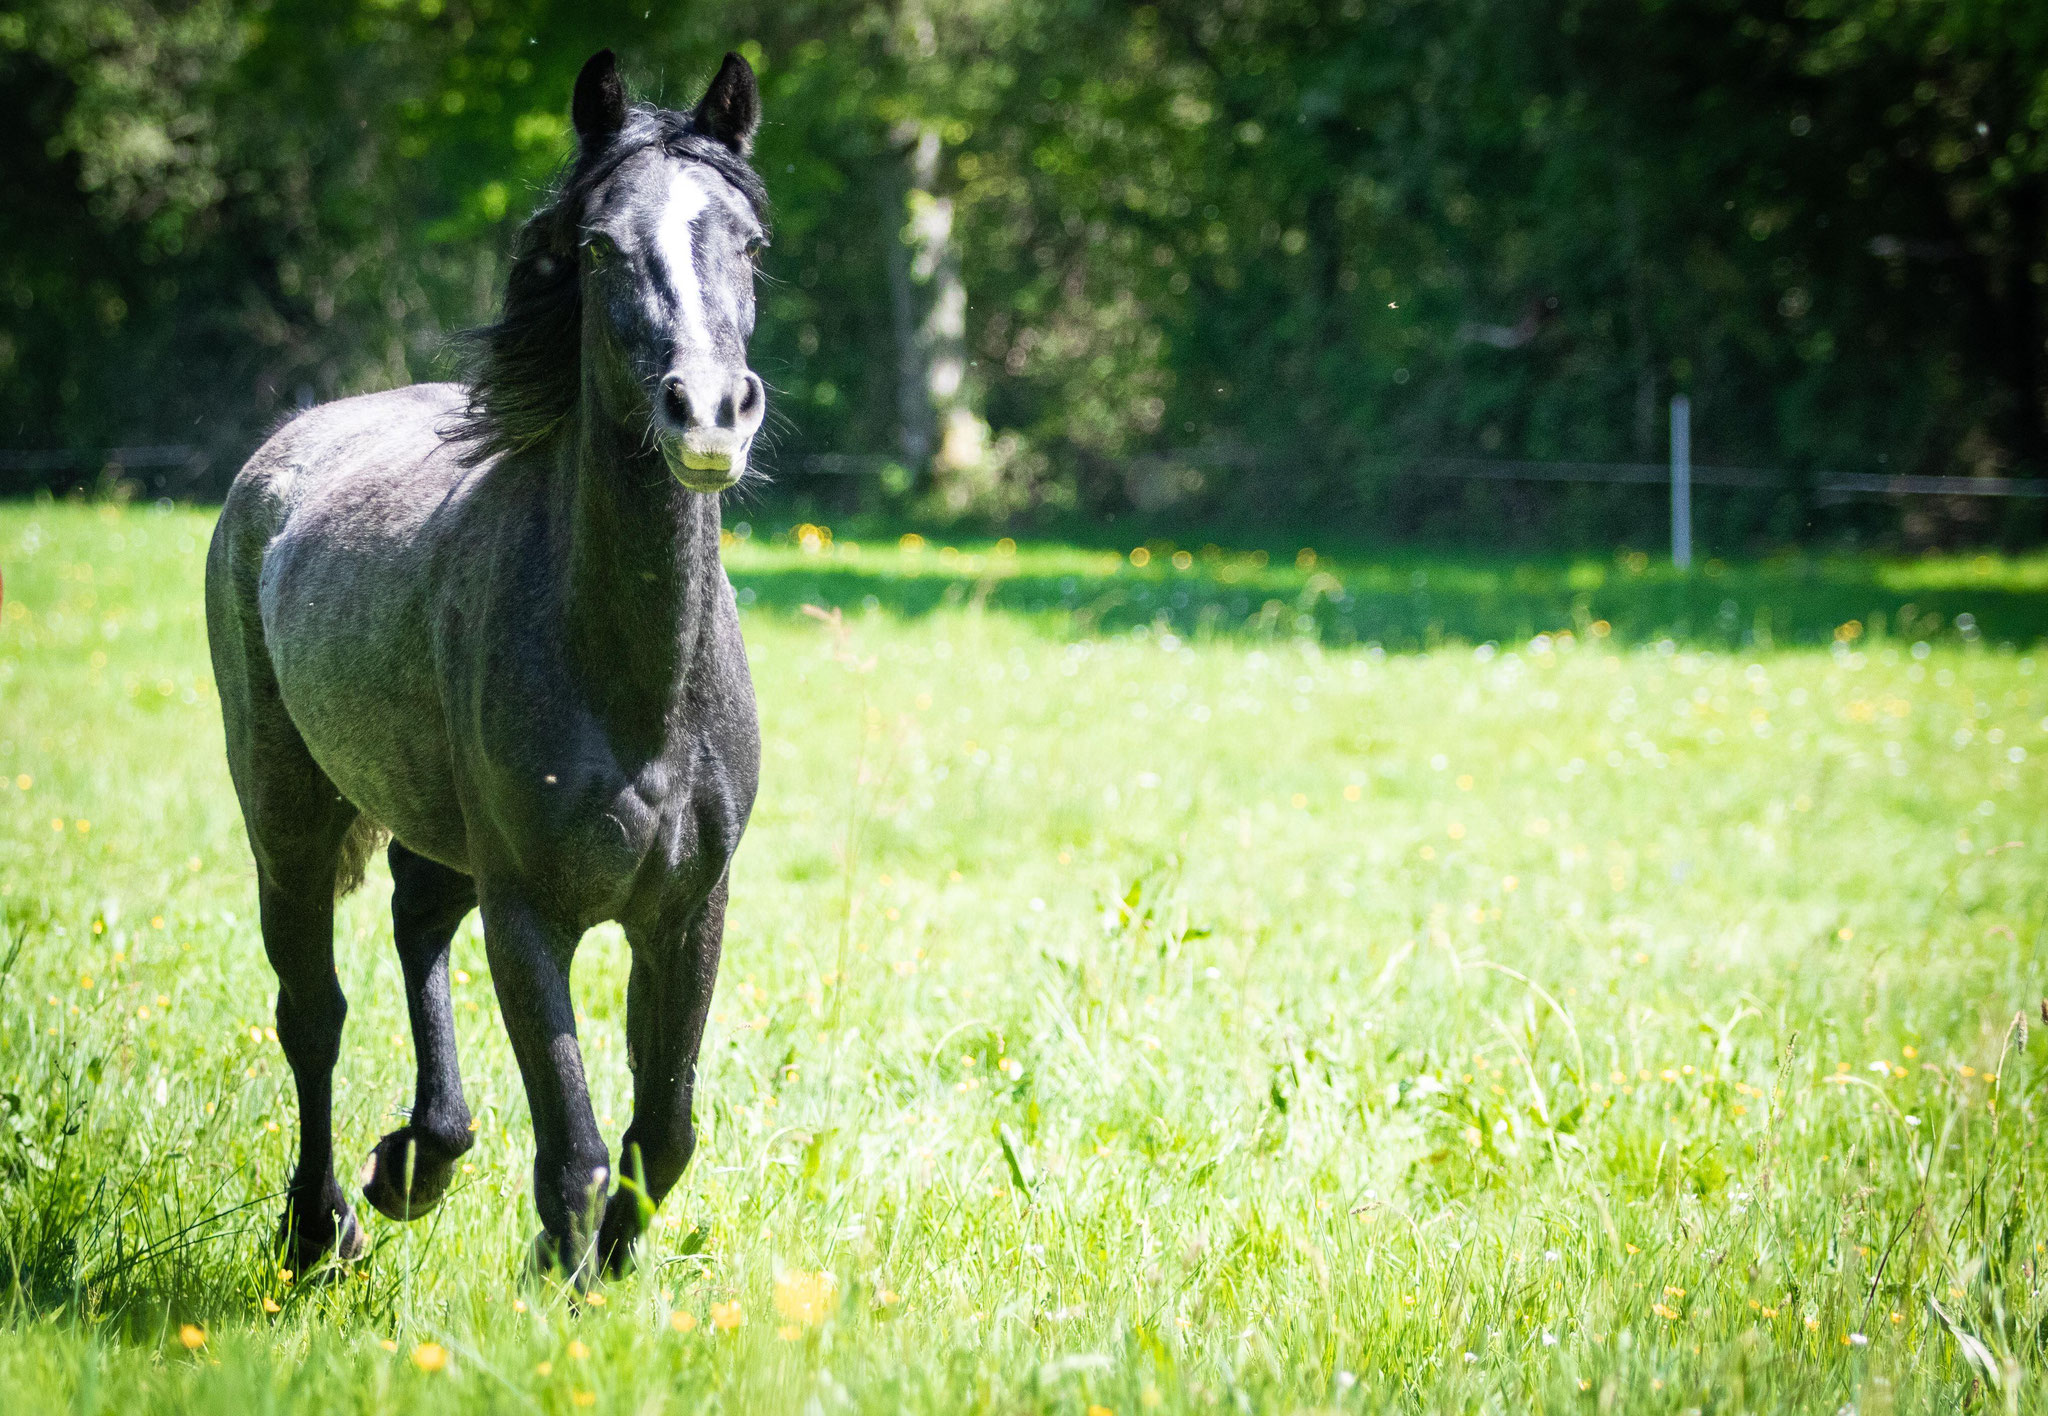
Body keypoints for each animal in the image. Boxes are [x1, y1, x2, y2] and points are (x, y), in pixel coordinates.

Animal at [207, 49, 770, 1278]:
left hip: (434, 827)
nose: (709, 414)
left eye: (749, 244)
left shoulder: (688, 911)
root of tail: (281, 456)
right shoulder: (529, 916)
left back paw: (417, 1160)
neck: (636, 689)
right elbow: (576, 1151)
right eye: (599, 246)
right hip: (287, 817)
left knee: (417, 925)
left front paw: (602, 1274)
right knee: (312, 1013)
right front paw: (564, 1285)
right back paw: (323, 1226)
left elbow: (663, 1136)